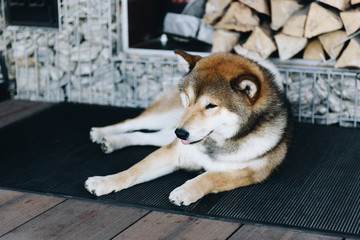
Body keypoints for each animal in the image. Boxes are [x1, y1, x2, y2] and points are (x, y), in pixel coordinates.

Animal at [85, 49, 292, 205]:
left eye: (211, 105)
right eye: (187, 97)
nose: (180, 133)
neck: (217, 142)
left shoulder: (249, 173)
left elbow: (210, 177)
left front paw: (185, 191)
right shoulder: (175, 151)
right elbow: (133, 171)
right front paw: (104, 182)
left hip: (167, 132)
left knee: (142, 136)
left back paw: (111, 142)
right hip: (166, 118)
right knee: (132, 122)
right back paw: (102, 132)